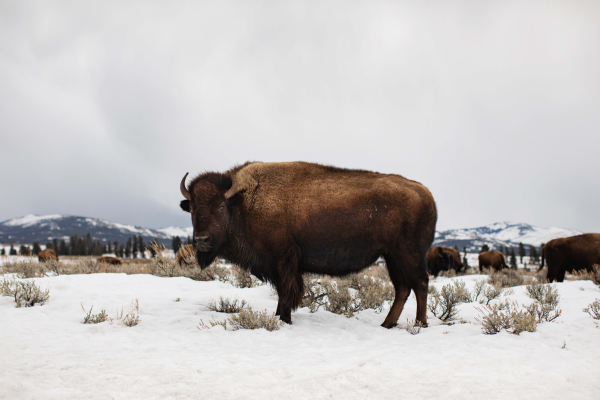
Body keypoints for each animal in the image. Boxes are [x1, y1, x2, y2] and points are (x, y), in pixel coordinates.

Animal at [178, 161, 436, 326]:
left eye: (221, 206)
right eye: (192, 208)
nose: (201, 240)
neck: (243, 202)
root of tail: (426, 193)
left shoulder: (283, 262)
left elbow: (286, 292)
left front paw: (284, 319)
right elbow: (282, 292)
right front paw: (279, 317)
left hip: (408, 255)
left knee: (420, 283)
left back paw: (419, 324)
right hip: (392, 257)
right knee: (403, 288)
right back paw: (387, 324)